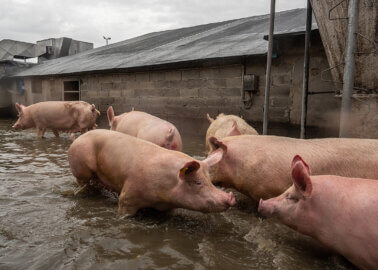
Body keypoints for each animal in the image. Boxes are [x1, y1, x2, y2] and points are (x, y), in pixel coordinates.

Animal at [67, 129, 233, 215]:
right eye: (198, 182)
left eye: (210, 181)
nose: (230, 198)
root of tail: (77, 139)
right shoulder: (127, 197)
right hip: (81, 168)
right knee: (83, 182)